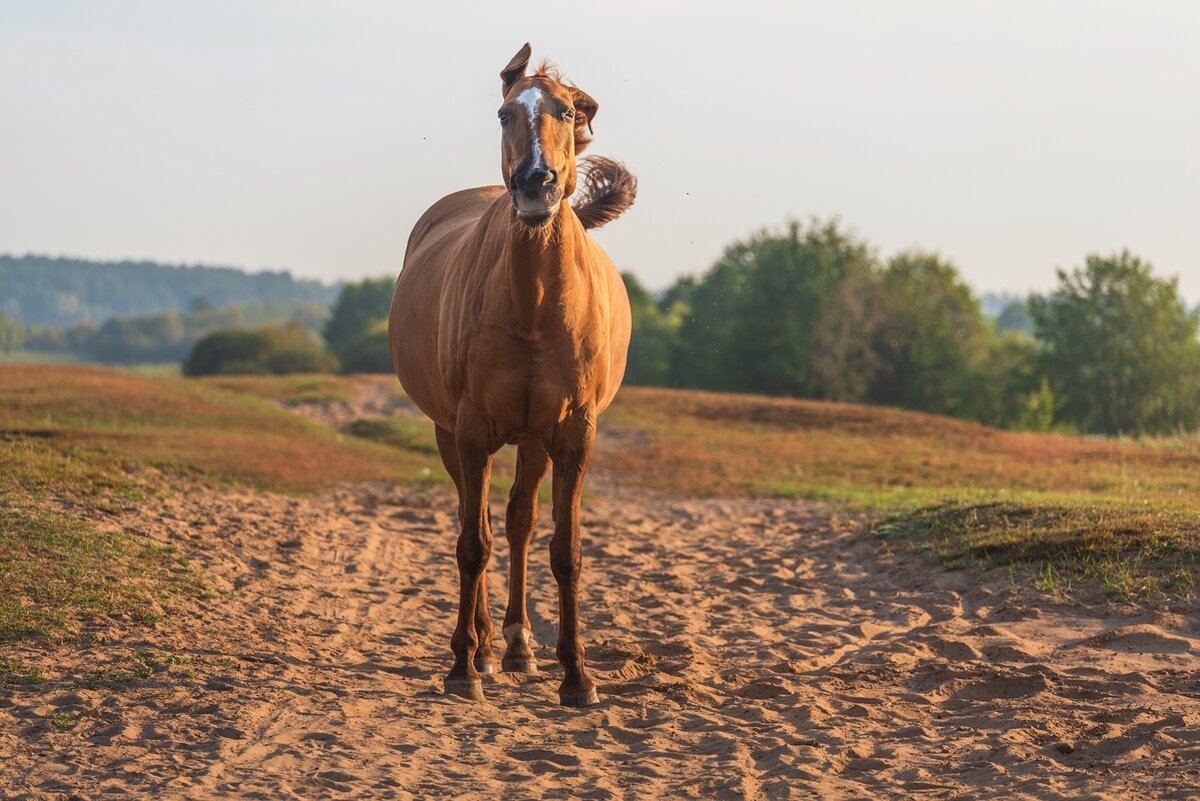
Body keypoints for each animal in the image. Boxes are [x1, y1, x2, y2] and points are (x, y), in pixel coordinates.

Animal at [391, 43, 638, 705]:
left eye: (566, 112)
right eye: (505, 114)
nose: (535, 183)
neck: (534, 305)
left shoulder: (573, 435)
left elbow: (565, 550)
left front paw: (577, 676)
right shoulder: (472, 431)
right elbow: (472, 545)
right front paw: (462, 668)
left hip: (533, 441)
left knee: (519, 523)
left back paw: (520, 646)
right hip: (451, 434)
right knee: (475, 522)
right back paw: (480, 648)